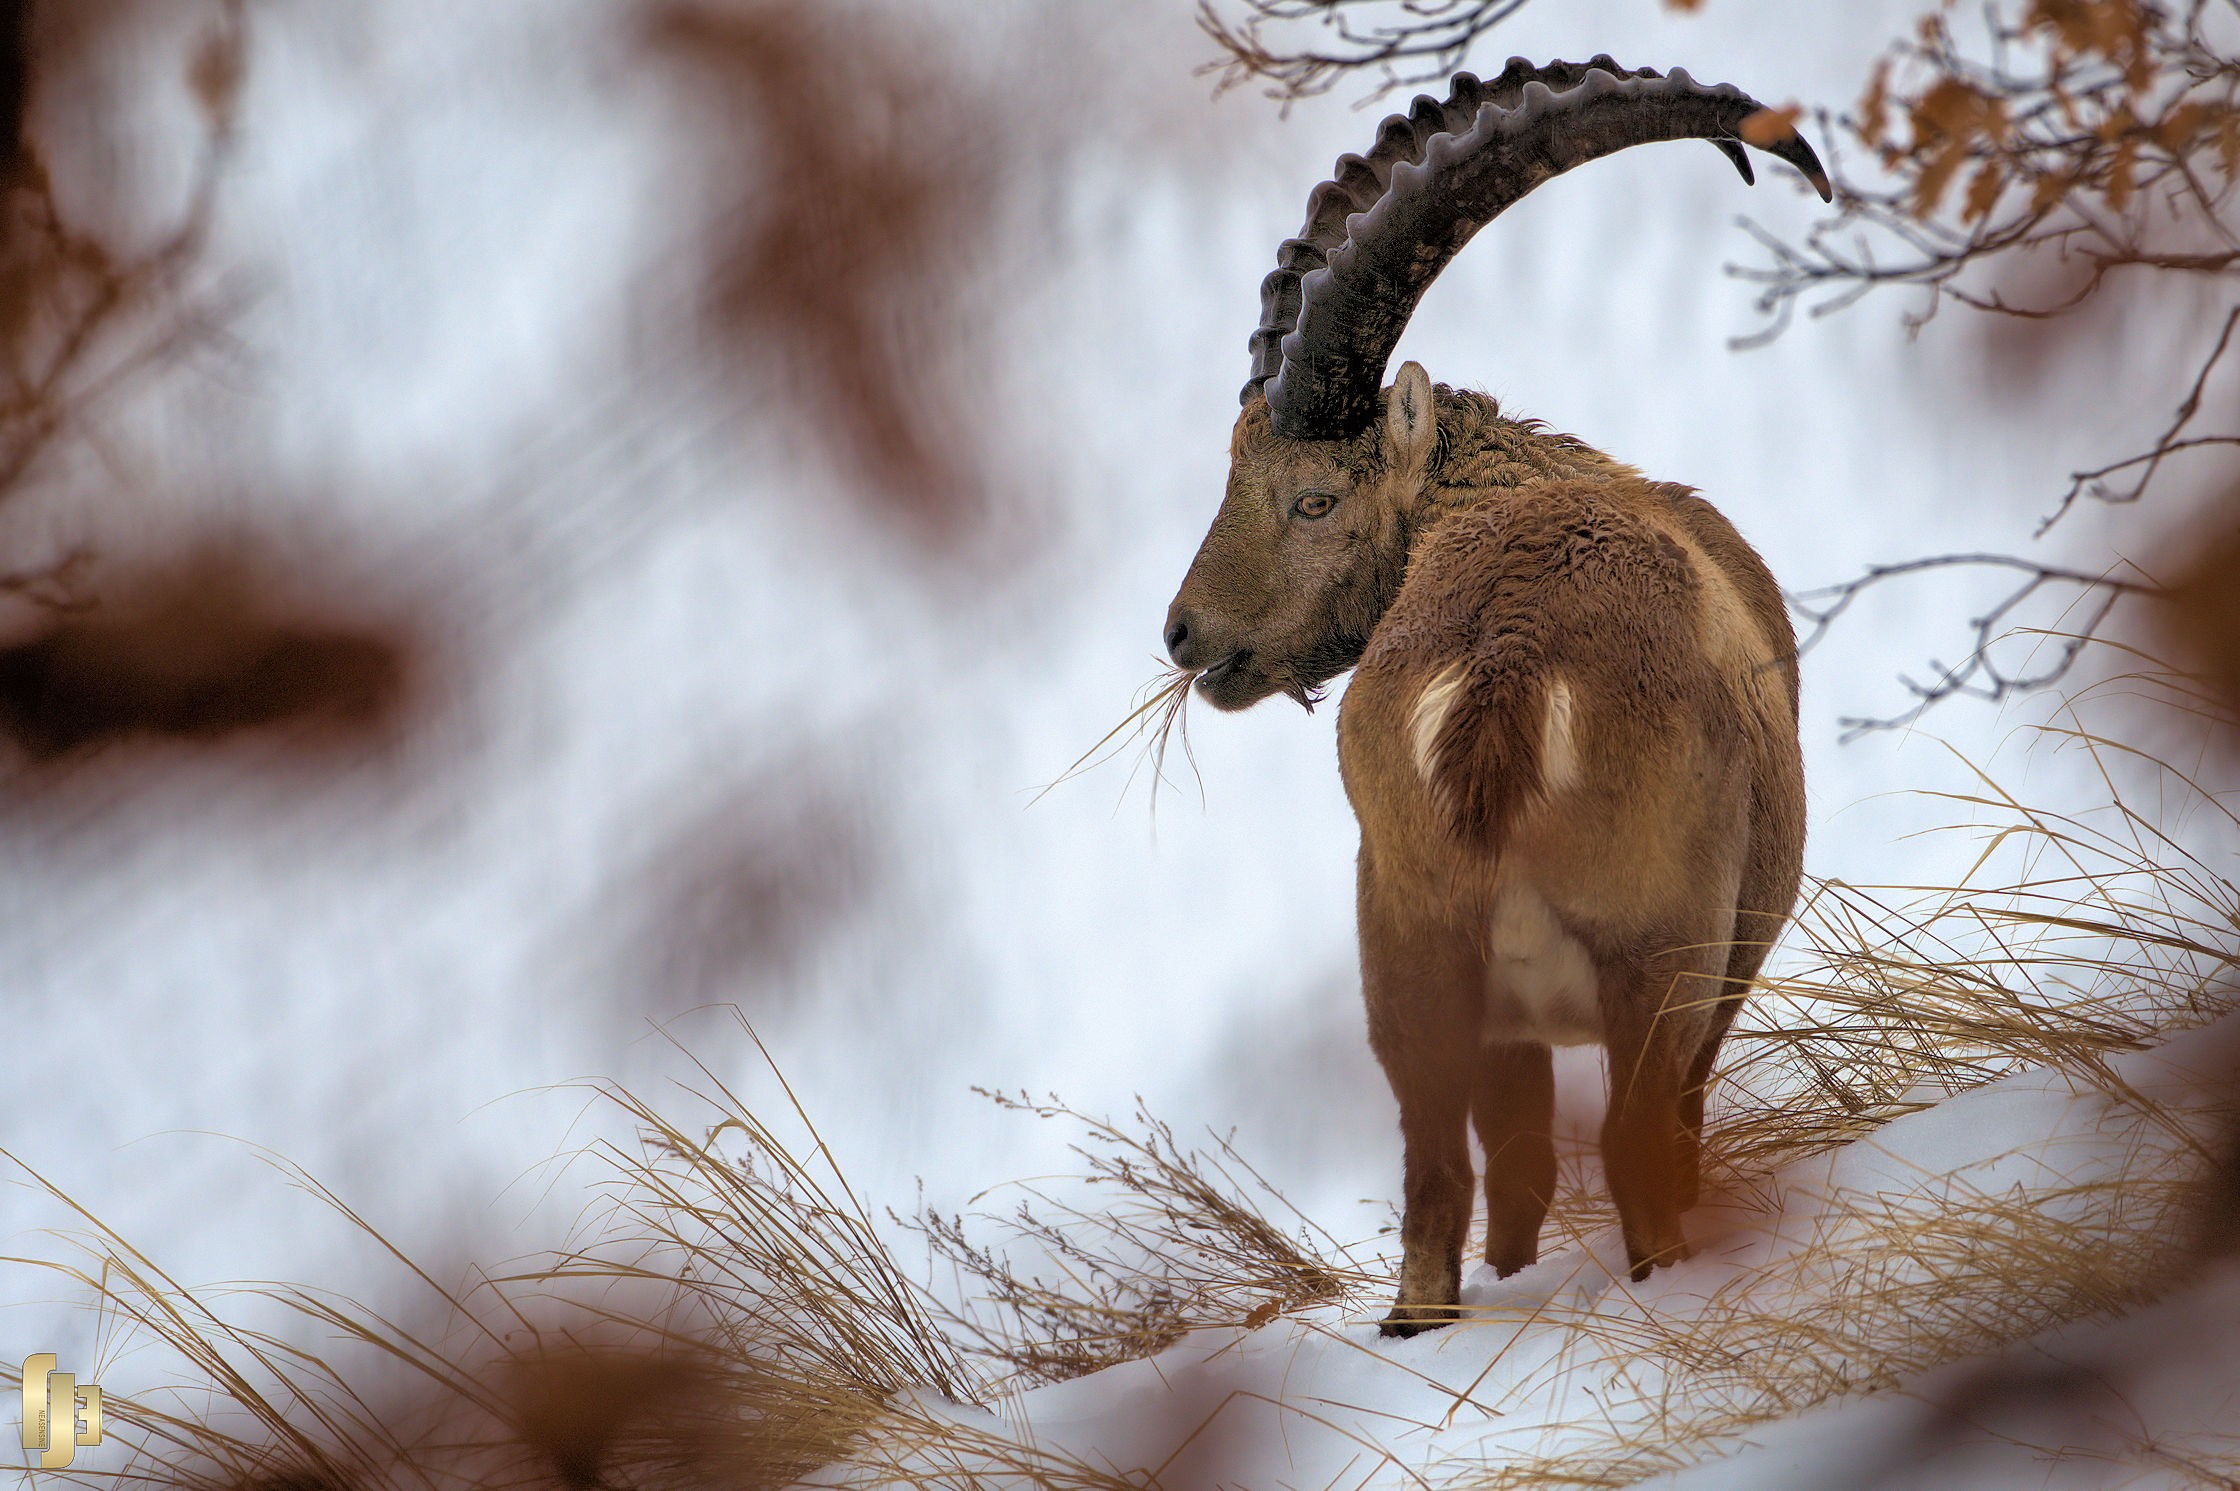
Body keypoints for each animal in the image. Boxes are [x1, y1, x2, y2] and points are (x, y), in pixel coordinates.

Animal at [1164, 61, 1827, 1334]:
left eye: (1311, 498)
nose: (1183, 636)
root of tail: (1508, 666)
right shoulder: (1728, 956)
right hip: (1657, 946)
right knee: (1631, 1142)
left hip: (1405, 944)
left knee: (1442, 1172)